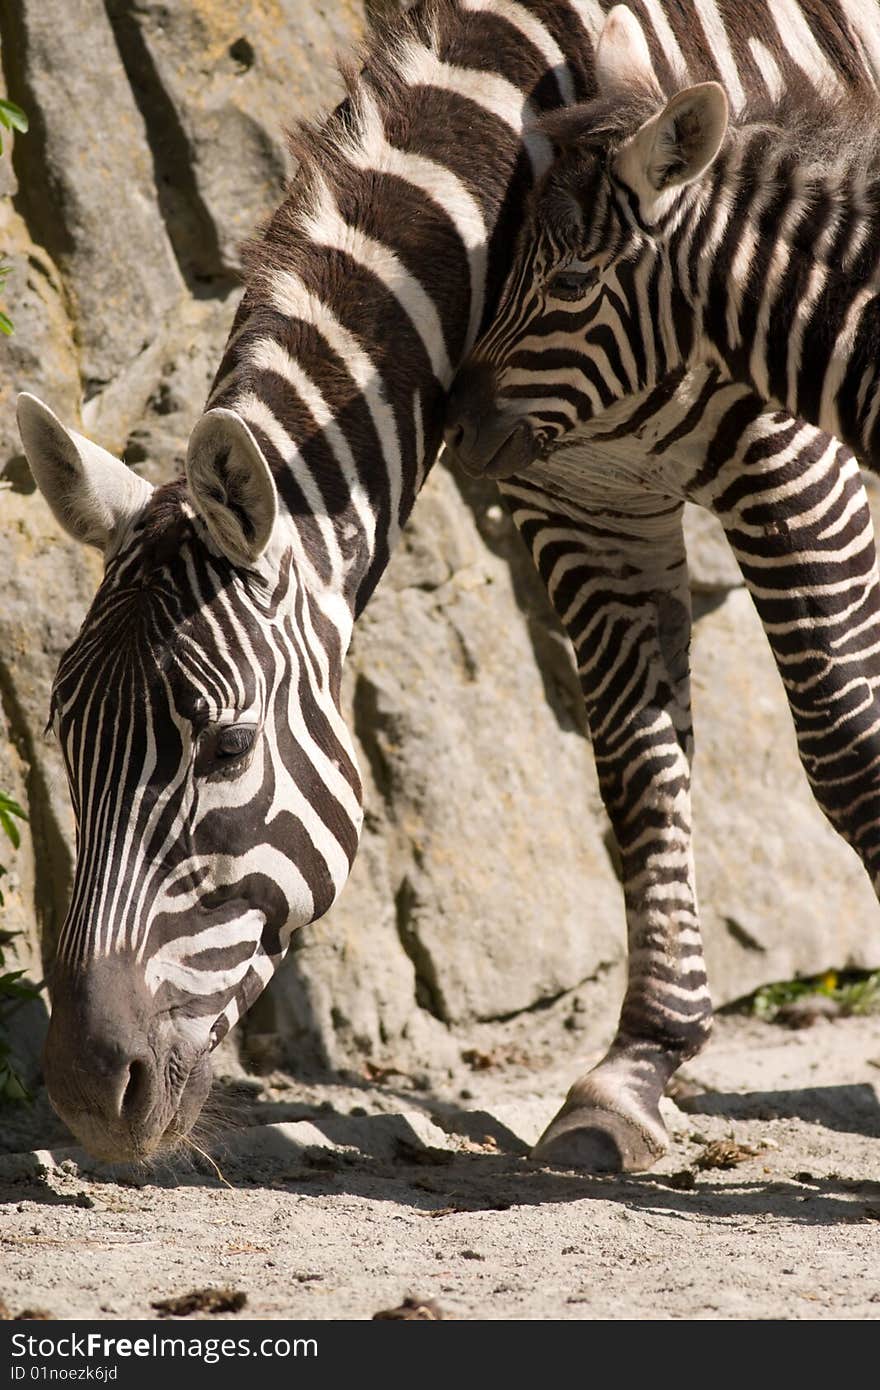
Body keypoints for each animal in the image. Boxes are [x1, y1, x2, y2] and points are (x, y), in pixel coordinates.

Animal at [13, 0, 880, 1173]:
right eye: (63, 730)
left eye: (227, 745)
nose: (87, 1089)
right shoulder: (579, 492)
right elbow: (638, 771)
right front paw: (634, 1071)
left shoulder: (790, 449)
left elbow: (845, 751)